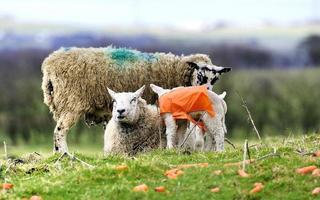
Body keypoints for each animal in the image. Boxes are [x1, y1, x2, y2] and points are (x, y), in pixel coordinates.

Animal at [41, 46, 231, 153]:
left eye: (215, 79)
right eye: (200, 75)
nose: (206, 94)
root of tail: (49, 65)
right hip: (71, 102)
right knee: (59, 132)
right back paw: (65, 155)